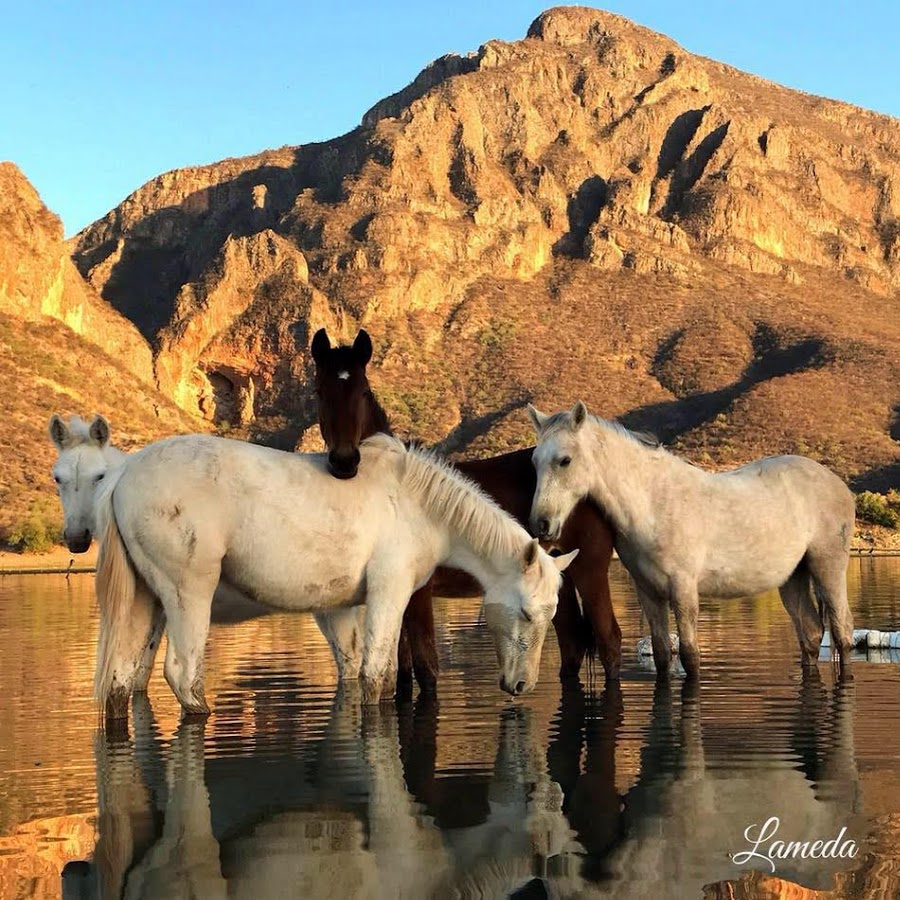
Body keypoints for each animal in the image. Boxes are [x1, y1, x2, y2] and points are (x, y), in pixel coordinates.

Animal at [89, 432, 568, 720]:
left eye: (550, 616)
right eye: (527, 614)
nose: (521, 684)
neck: (416, 504)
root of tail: (122, 474)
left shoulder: (337, 608)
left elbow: (354, 671)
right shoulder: (390, 593)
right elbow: (376, 674)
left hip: (145, 600)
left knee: (121, 679)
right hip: (188, 595)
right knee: (182, 674)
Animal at [310, 326, 620, 692]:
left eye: (364, 391)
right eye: (319, 391)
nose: (345, 461)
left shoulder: (418, 596)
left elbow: (426, 669)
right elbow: (402, 675)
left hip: (590, 570)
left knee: (609, 642)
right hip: (560, 575)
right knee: (572, 643)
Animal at [532, 404, 856, 680]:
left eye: (565, 460)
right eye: (535, 461)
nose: (541, 524)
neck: (654, 502)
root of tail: (837, 484)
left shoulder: (684, 588)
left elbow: (690, 656)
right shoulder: (648, 592)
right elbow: (663, 654)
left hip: (828, 568)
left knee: (842, 633)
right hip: (793, 577)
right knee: (811, 633)